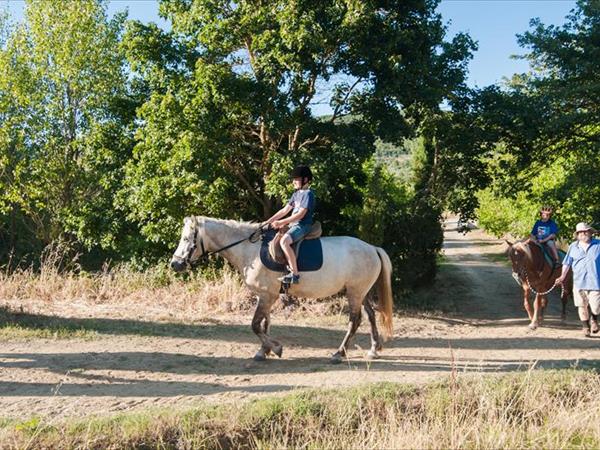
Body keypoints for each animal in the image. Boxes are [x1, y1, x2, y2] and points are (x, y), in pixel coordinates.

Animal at [169, 216, 394, 364]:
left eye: (187, 239)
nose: (175, 264)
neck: (249, 251)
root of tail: (372, 248)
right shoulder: (266, 295)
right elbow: (265, 324)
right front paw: (264, 351)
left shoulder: (266, 296)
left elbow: (255, 325)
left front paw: (275, 348)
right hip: (361, 292)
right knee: (371, 315)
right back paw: (373, 350)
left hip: (355, 292)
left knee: (354, 321)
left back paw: (339, 353)